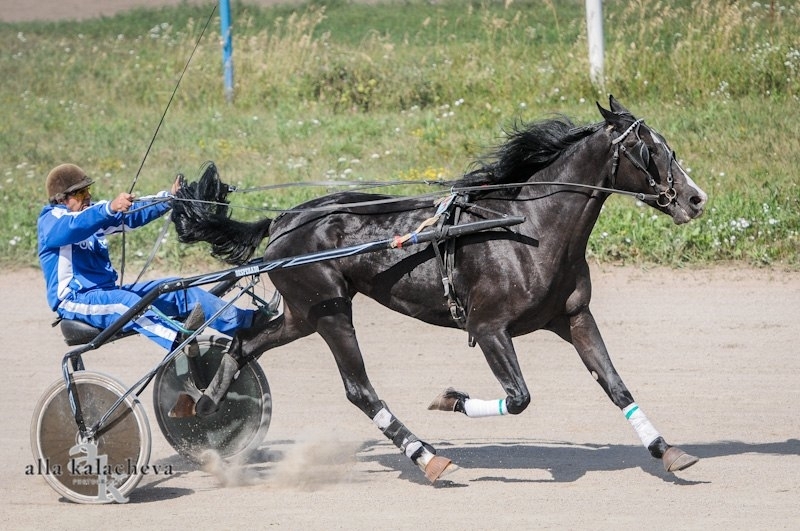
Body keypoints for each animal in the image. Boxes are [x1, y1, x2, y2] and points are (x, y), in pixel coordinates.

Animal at [169, 95, 708, 482]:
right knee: (359, 389)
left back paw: (205, 408)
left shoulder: (573, 317)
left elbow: (616, 385)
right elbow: (518, 398)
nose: (696, 199)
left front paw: (667, 451)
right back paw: (426, 457)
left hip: (304, 313)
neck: (529, 229)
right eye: (651, 149)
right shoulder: (489, 328)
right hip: (329, 311)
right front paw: (450, 399)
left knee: (245, 343)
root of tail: (283, 219)